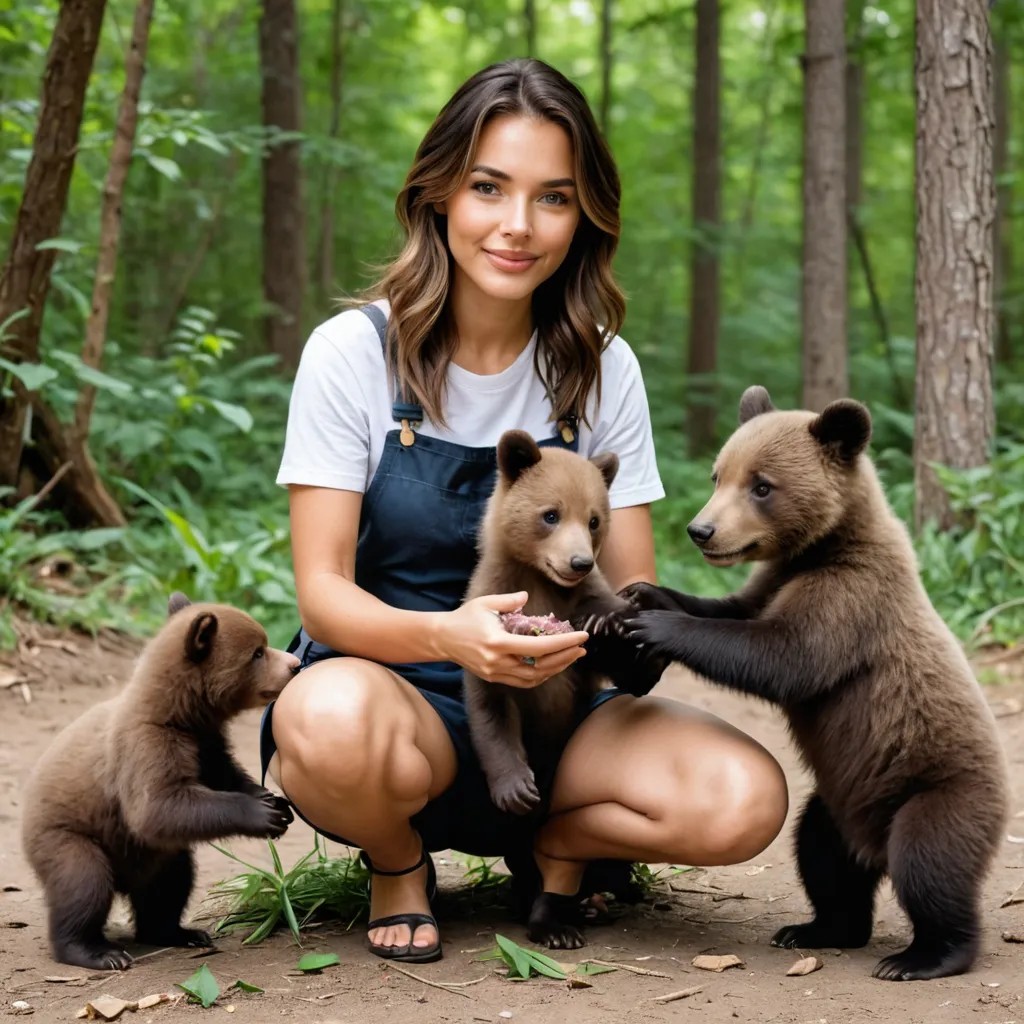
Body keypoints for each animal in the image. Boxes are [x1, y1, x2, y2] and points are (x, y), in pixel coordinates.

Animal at [21, 594, 300, 970]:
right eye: (258, 651)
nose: (294, 664)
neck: (179, 713)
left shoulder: (204, 742)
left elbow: (225, 774)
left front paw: (276, 802)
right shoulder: (147, 744)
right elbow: (156, 807)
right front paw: (263, 813)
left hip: (155, 858)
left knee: (171, 884)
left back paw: (180, 933)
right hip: (64, 838)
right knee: (83, 883)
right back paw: (97, 951)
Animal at [463, 429, 663, 949]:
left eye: (594, 519)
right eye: (550, 514)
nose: (578, 562)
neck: (542, 581)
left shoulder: (587, 600)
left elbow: (629, 667)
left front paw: (612, 627)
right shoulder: (490, 601)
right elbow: (490, 702)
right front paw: (515, 787)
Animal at [592, 386, 1009, 981]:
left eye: (762, 485)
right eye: (719, 475)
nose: (702, 531)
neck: (823, 546)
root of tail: (872, 843)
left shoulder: (850, 597)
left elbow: (783, 656)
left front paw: (653, 625)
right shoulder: (772, 580)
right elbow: (729, 609)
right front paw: (642, 595)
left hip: (941, 791)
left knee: (930, 863)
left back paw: (922, 956)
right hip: (838, 803)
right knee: (821, 857)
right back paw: (817, 928)